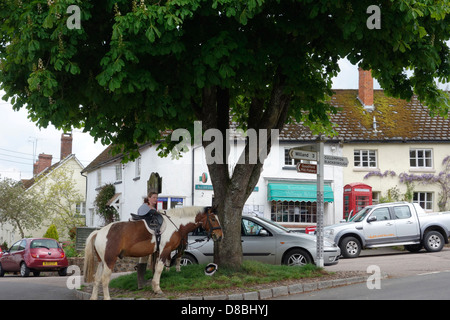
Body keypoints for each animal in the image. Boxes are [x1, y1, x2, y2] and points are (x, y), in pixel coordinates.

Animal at [83, 205, 223, 300]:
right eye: (213, 219)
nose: (220, 236)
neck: (175, 224)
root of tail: (99, 232)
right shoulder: (164, 250)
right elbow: (159, 268)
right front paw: (157, 288)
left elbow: (156, 268)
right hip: (109, 260)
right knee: (104, 279)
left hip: (102, 261)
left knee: (96, 279)